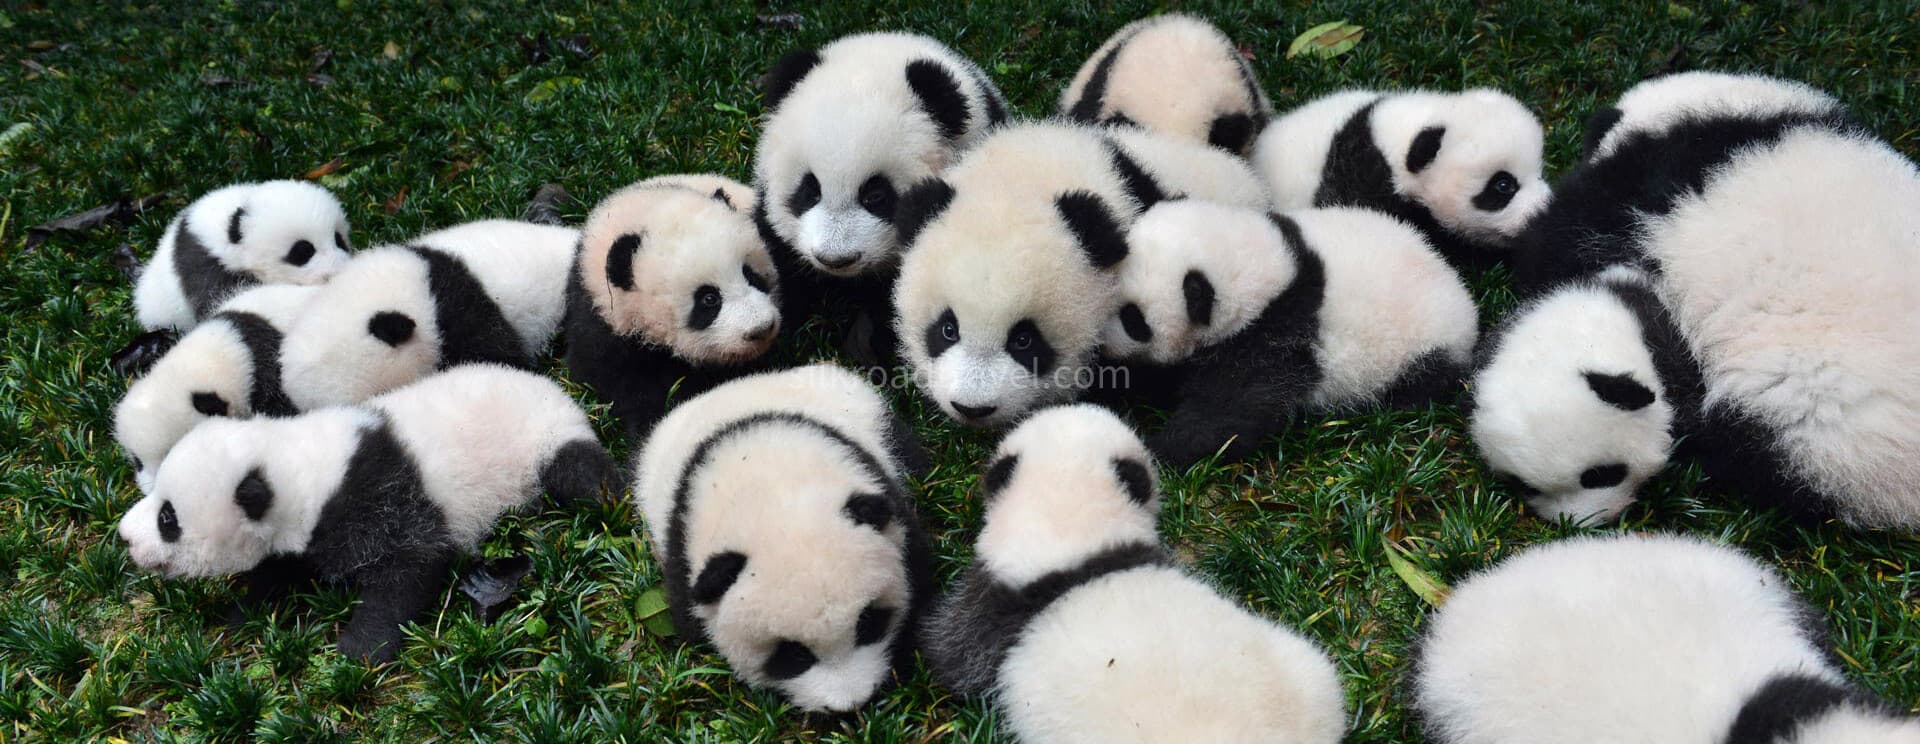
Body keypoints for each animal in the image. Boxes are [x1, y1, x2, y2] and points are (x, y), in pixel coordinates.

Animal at [117, 364, 622, 662]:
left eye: (167, 519)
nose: (125, 536)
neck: (298, 468)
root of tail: (557, 390)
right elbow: (282, 568)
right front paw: (241, 612)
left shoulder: (378, 496)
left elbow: (409, 568)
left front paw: (358, 650)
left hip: (544, 440)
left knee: (581, 475)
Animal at [1103, 201, 1478, 467]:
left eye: (1132, 318)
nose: (1102, 342)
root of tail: (1462, 297)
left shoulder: (1274, 337)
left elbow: (1230, 412)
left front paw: (1155, 447)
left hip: (1423, 346)